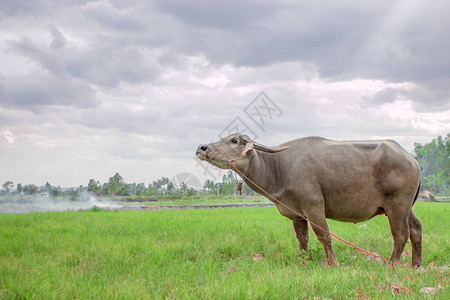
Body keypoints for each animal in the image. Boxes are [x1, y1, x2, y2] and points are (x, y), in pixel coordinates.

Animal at [196, 134, 422, 268]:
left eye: (234, 140)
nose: (202, 147)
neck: (278, 168)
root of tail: (412, 160)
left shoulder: (313, 206)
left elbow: (324, 236)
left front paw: (333, 263)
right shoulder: (297, 214)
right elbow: (302, 240)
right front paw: (302, 262)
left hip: (397, 205)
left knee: (401, 234)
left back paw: (391, 265)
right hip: (406, 207)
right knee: (416, 229)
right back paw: (416, 265)